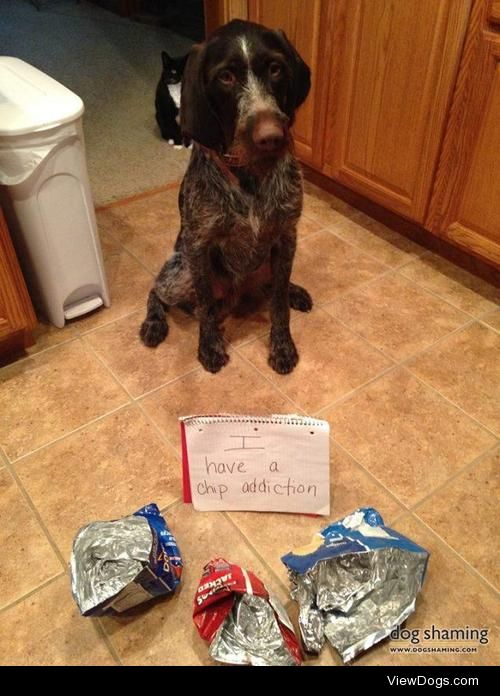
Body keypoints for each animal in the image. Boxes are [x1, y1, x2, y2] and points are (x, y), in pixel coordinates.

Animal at [141, 19, 312, 372]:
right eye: (226, 77)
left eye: (275, 68)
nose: (272, 137)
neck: (251, 175)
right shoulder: (199, 246)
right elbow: (206, 306)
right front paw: (208, 345)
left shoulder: (287, 235)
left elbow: (278, 303)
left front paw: (282, 345)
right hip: (182, 272)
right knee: (158, 290)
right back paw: (154, 323)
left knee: (271, 285)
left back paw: (292, 290)